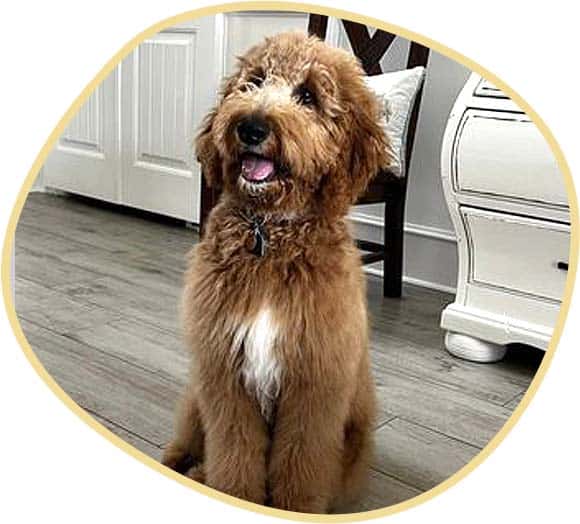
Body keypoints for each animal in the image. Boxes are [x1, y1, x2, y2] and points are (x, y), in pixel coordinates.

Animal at [161, 30, 392, 512]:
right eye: (253, 81)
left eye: (308, 96)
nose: (250, 127)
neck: (268, 236)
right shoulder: (225, 376)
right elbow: (234, 452)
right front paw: (235, 496)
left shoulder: (314, 385)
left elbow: (300, 463)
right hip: (196, 395)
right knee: (188, 443)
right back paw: (185, 467)